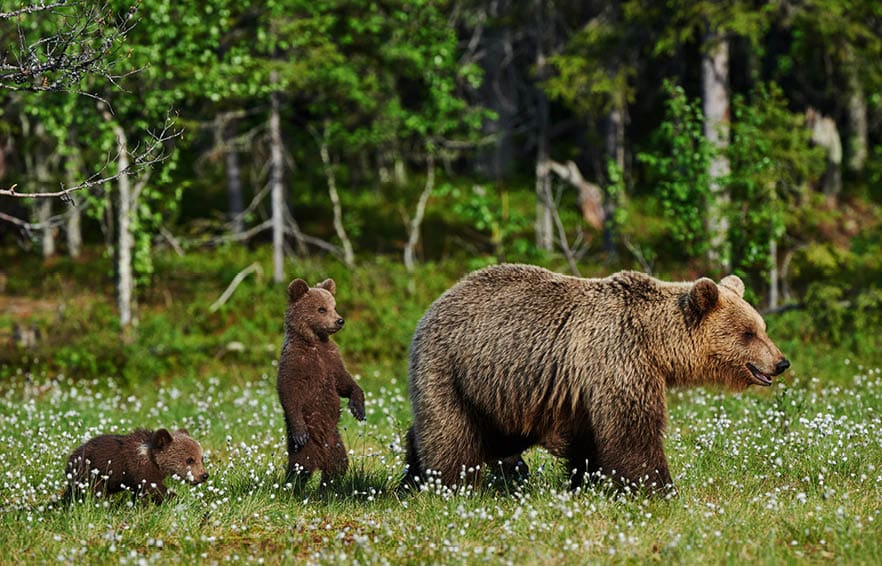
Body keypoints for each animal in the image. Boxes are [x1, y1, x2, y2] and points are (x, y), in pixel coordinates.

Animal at [63, 428, 208, 503]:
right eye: (190, 460)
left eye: (201, 458)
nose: (204, 475)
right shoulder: (139, 470)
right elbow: (153, 488)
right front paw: (176, 498)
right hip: (90, 473)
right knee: (94, 492)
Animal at [277, 278, 366, 484]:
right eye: (321, 309)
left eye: (334, 306)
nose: (339, 320)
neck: (314, 342)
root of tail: (320, 458)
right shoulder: (296, 362)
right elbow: (288, 391)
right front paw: (300, 431)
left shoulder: (331, 359)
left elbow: (344, 382)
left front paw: (358, 408)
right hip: (306, 447)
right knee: (300, 468)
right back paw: (292, 486)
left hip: (335, 443)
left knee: (338, 466)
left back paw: (327, 486)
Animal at [403, 264, 790, 493]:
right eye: (748, 333)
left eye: (762, 327)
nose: (781, 362)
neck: (655, 342)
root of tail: (436, 302)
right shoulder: (618, 357)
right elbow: (633, 430)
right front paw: (660, 489)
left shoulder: (582, 385)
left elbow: (589, 438)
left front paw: (587, 481)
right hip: (453, 368)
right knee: (452, 433)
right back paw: (447, 485)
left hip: (499, 393)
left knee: (494, 436)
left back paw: (411, 473)